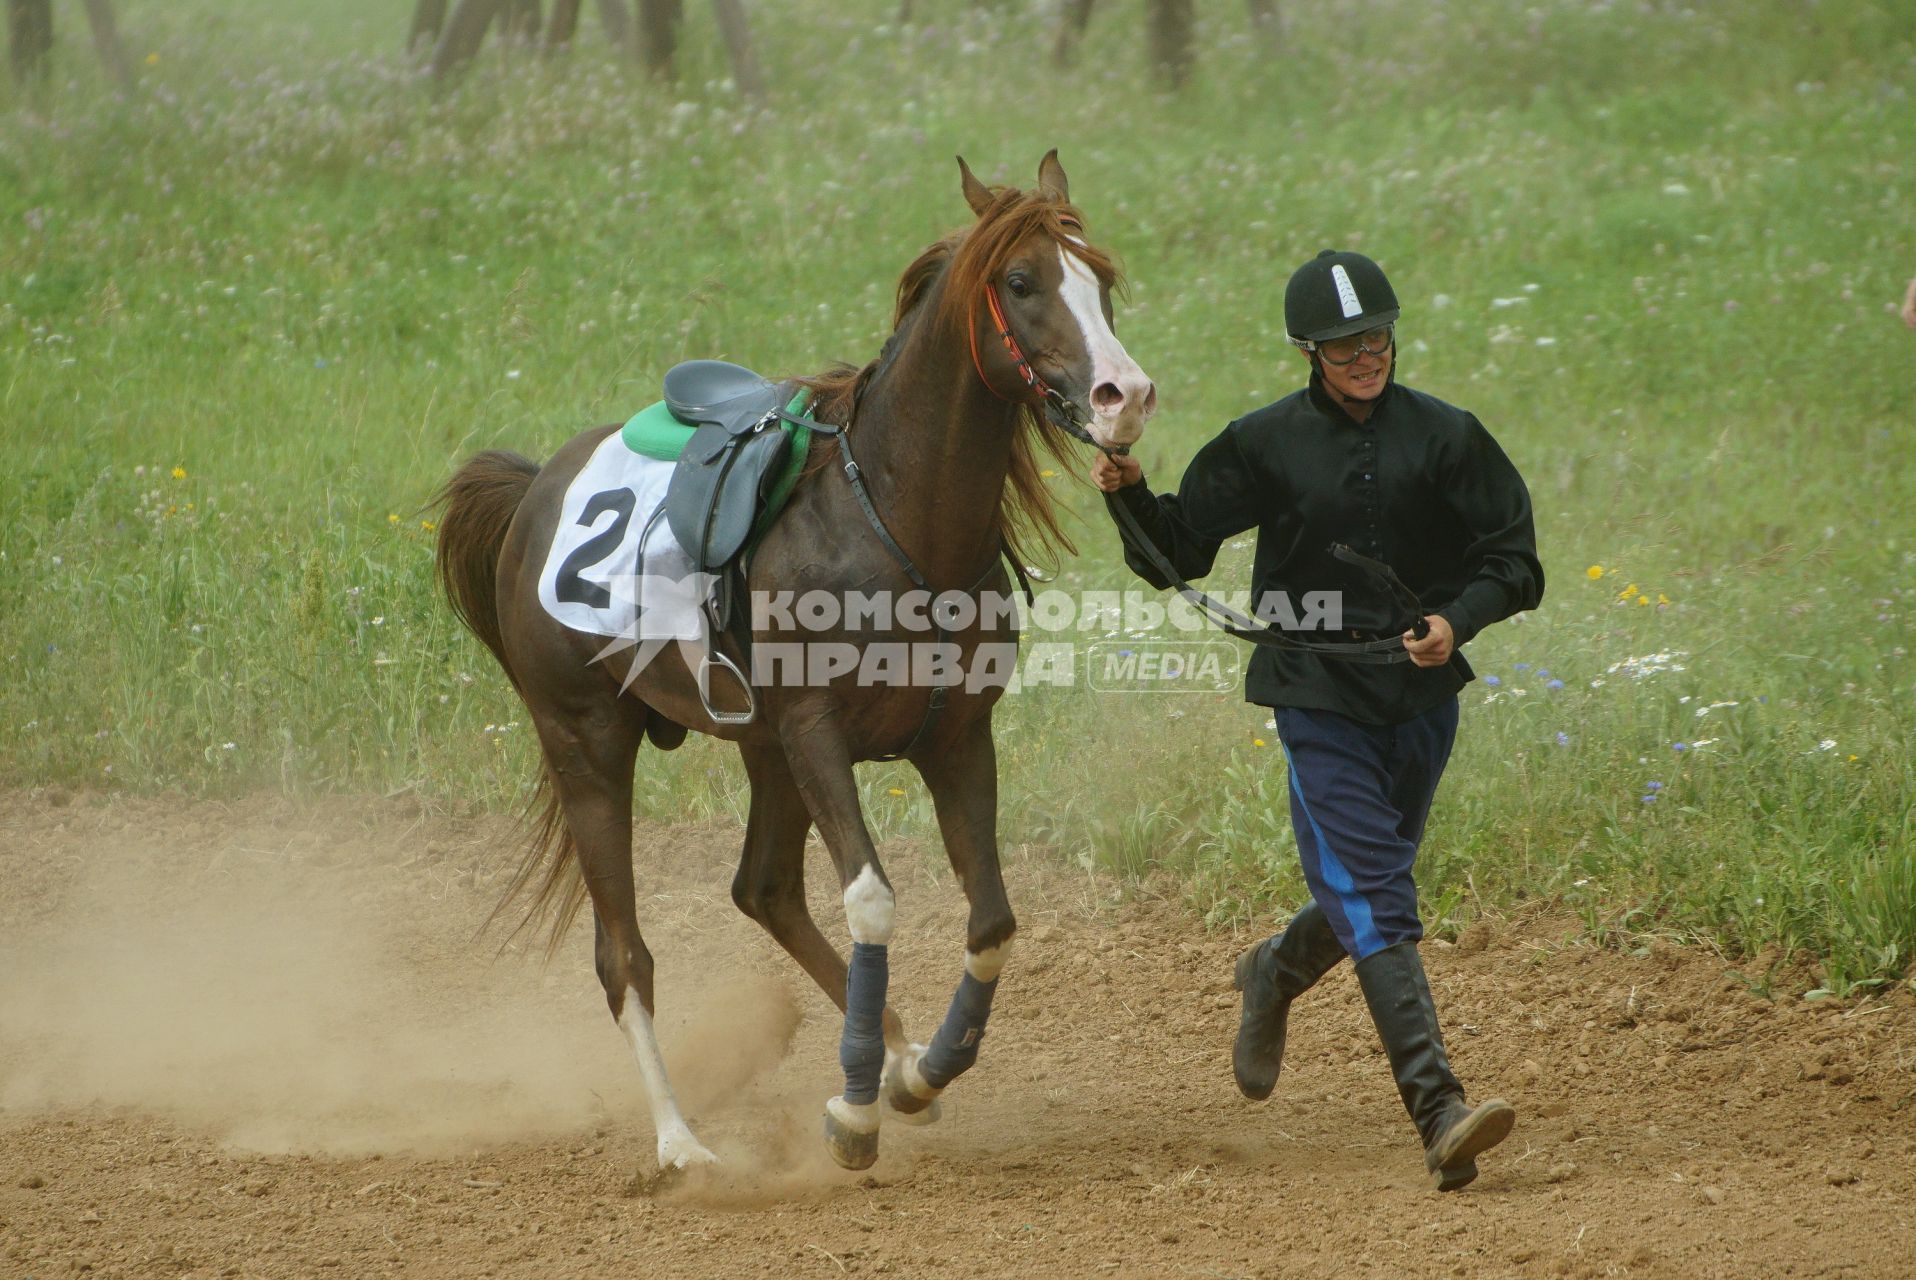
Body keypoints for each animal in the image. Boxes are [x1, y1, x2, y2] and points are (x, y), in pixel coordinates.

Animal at [434, 150, 1149, 1172]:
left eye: (1103, 277)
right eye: (1022, 281)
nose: (1125, 396)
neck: (894, 519)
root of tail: (536, 489)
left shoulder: (957, 739)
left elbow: (991, 921)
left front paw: (921, 1072)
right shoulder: (818, 736)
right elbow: (873, 902)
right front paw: (854, 1109)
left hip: (760, 748)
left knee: (763, 890)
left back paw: (888, 1061)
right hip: (589, 743)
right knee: (625, 954)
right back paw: (682, 1143)